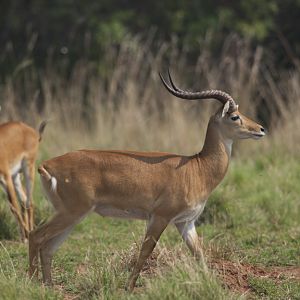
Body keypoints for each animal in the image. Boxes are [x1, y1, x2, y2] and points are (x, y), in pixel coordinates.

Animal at [29, 71, 264, 290]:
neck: (197, 168)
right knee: (35, 235)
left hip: (73, 216)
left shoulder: (185, 222)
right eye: (234, 116)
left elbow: (199, 254)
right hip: (72, 212)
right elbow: (145, 251)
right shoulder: (159, 217)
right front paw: (129, 287)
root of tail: (47, 164)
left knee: (48, 247)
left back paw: (48, 286)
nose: (261, 129)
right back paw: (30, 281)